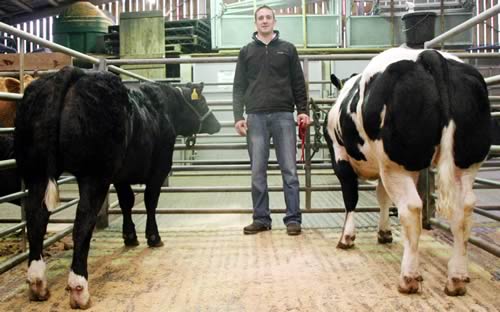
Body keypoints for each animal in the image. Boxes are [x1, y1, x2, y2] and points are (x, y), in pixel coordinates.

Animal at [14, 67, 221, 308]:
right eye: (203, 102)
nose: (216, 124)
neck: (166, 108)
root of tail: (72, 71)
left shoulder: (122, 176)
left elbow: (126, 202)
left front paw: (130, 236)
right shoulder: (158, 170)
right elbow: (150, 201)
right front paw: (153, 238)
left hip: (35, 172)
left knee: (37, 218)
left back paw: (37, 282)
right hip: (94, 175)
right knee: (82, 222)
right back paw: (79, 288)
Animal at [324, 47, 492, 296]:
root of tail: (428, 55)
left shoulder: (341, 158)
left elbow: (351, 199)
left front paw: (347, 238)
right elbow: (382, 197)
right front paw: (384, 232)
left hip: (397, 165)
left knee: (411, 209)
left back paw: (409, 277)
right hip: (465, 162)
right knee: (463, 211)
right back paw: (457, 277)